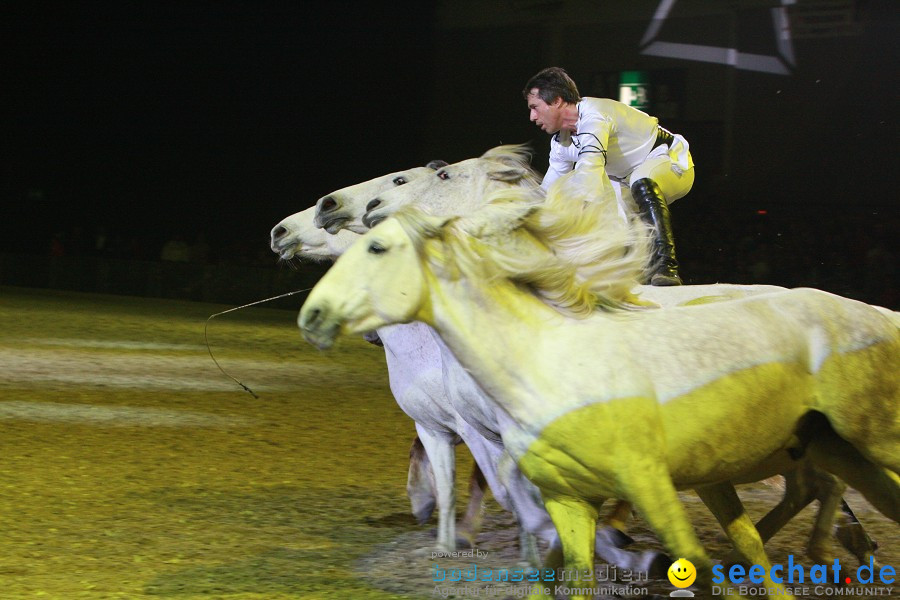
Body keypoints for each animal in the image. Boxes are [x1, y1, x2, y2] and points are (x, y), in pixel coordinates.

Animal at [302, 171, 900, 596]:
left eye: (414, 178)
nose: (325, 209)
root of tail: (874, 311)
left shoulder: (484, 429)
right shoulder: (469, 428)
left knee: (823, 487)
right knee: (813, 487)